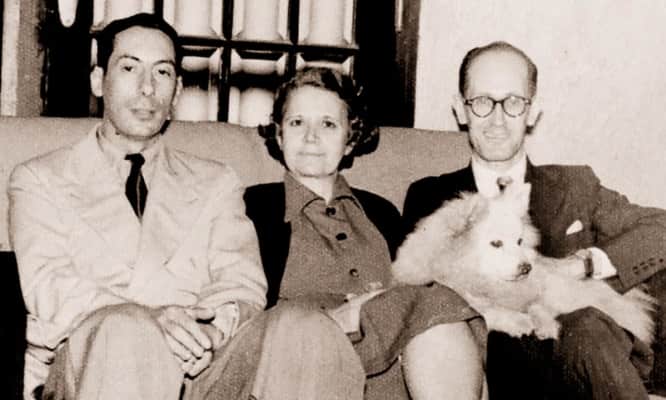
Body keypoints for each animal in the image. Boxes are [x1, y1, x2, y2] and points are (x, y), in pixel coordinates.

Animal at [392, 182, 655, 343]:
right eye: (496, 243)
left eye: (519, 241)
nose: (527, 268)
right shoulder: (465, 295)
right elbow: (487, 308)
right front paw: (518, 321)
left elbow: (538, 305)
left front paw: (545, 324)